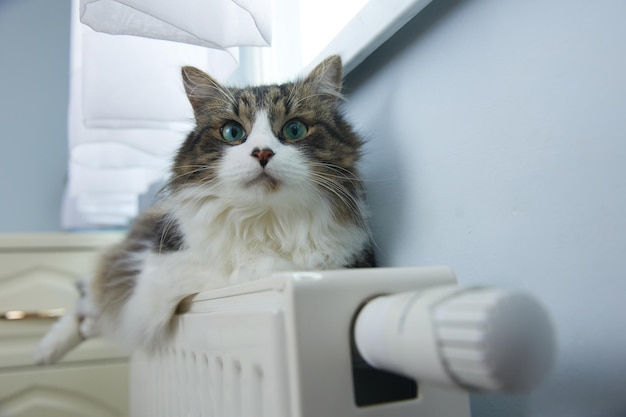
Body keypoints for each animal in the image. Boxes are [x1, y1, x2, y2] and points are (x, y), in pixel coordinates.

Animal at [34, 55, 372, 364]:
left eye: (294, 129)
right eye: (233, 133)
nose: (262, 153)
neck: (266, 221)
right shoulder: (161, 271)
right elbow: (233, 268)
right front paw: (273, 267)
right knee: (85, 303)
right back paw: (45, 352)